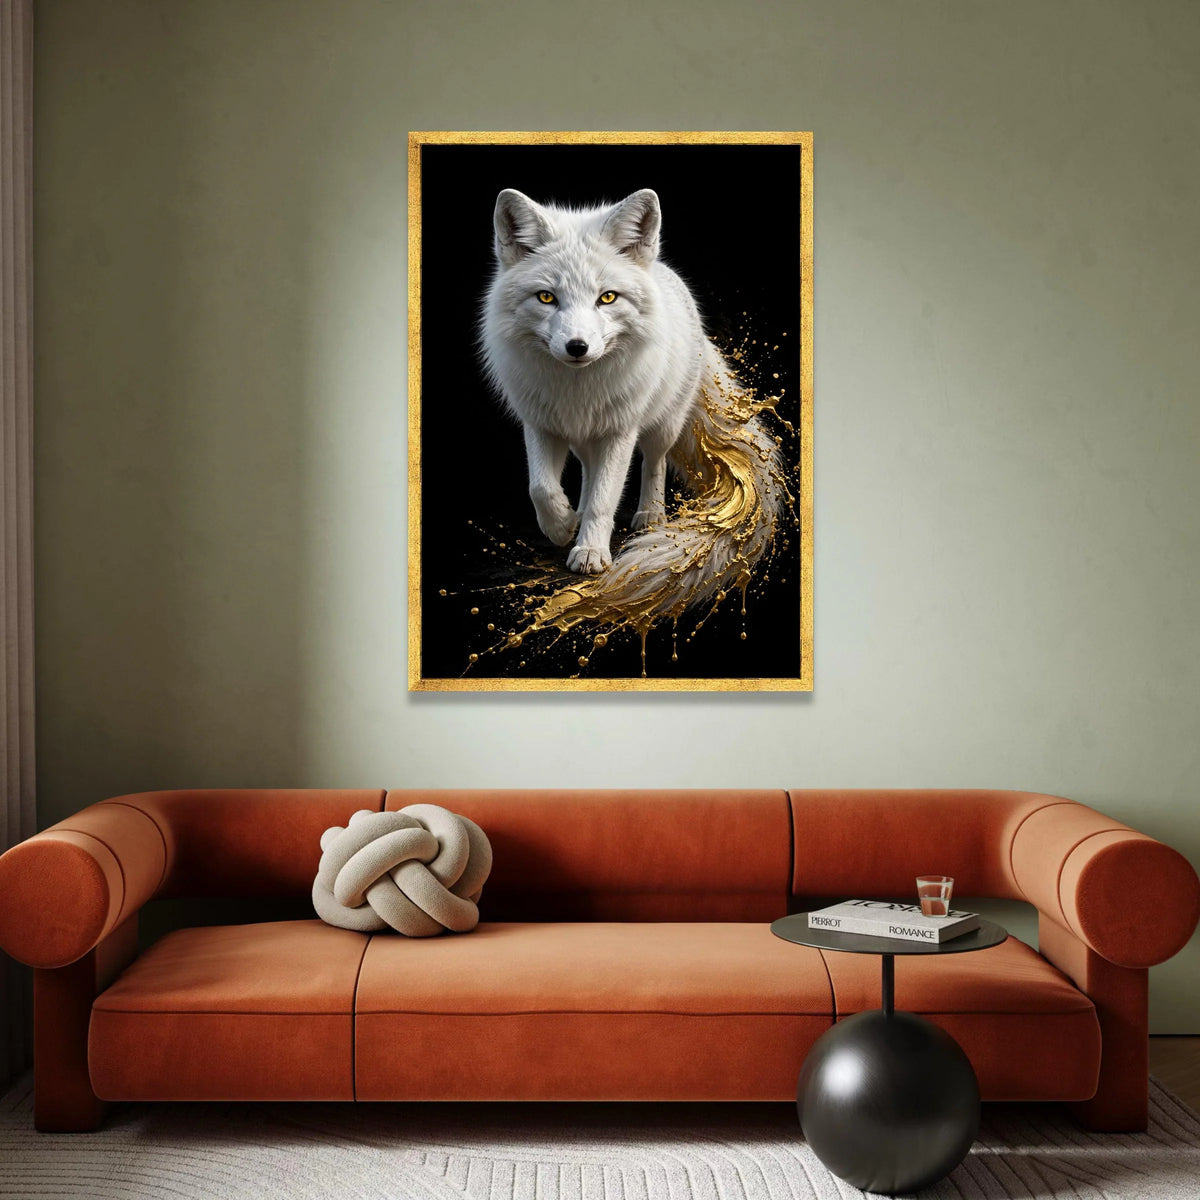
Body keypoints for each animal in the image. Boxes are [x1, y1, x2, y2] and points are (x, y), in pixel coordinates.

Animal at [479, 187, 785, 639]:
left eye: (607, 297)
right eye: (546, 297)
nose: (577, 347)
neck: (578, 391)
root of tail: (664, 270)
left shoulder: (619, 432)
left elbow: (607, 496)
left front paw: (590, 551)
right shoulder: (541, 424)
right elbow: (542, 488)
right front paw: (562, 526)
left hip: (662, 425)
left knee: (652, 463)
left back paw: (650, 515)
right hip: (586, 441)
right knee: (588, 474)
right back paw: (578, 513)